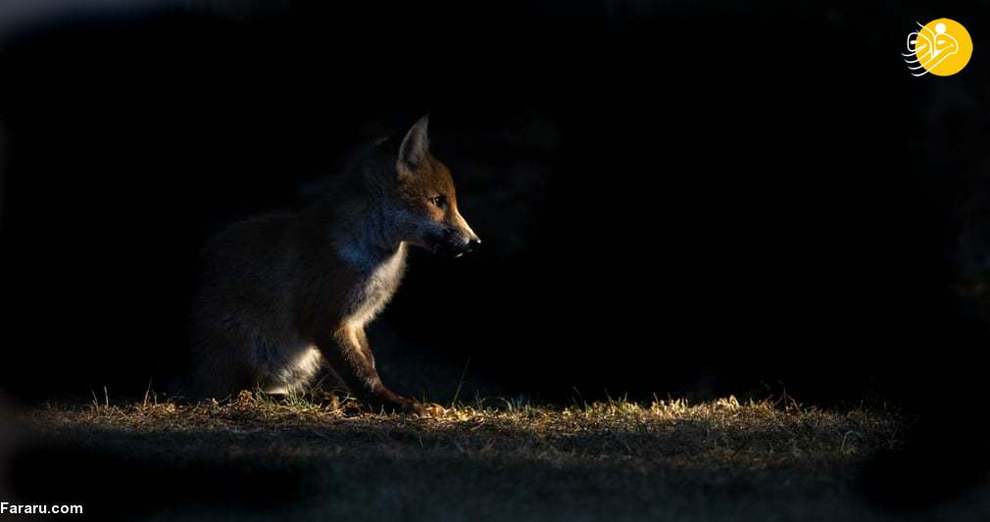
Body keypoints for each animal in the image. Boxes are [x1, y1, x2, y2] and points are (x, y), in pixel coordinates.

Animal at [188, 117, 482, 410]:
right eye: (438, 201)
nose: (475, 242)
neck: (371, 256)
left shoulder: (357, 320)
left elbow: (369, 363)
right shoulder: (327, 319)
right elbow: (361, 373)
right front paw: (391, 404)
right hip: (253, 346)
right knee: (235, 392)